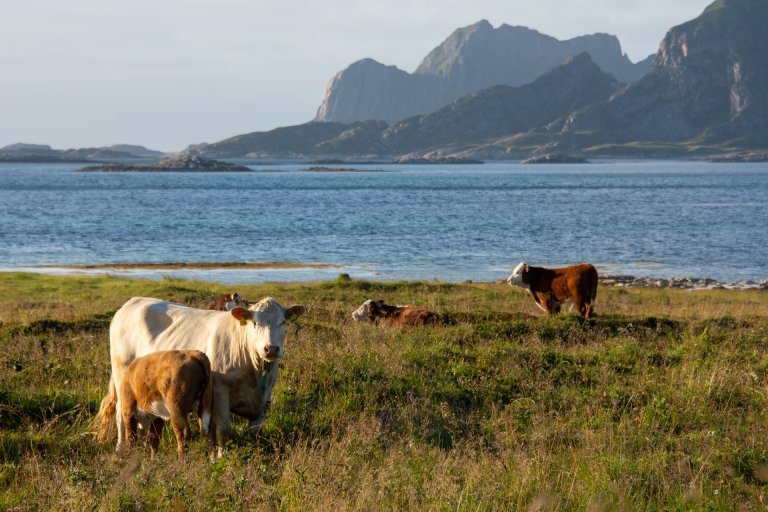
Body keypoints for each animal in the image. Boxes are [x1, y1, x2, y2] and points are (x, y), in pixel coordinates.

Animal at [94, 296, 304, 456]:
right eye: (255, 323)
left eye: (283, 322)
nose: (271, 348)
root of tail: (132, 302)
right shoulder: (219, 393)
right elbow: (223, 430)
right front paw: (221, 458)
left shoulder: (265, 397)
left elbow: (255, 432)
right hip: (122, 377)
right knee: (121, 413)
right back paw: (121, 449)